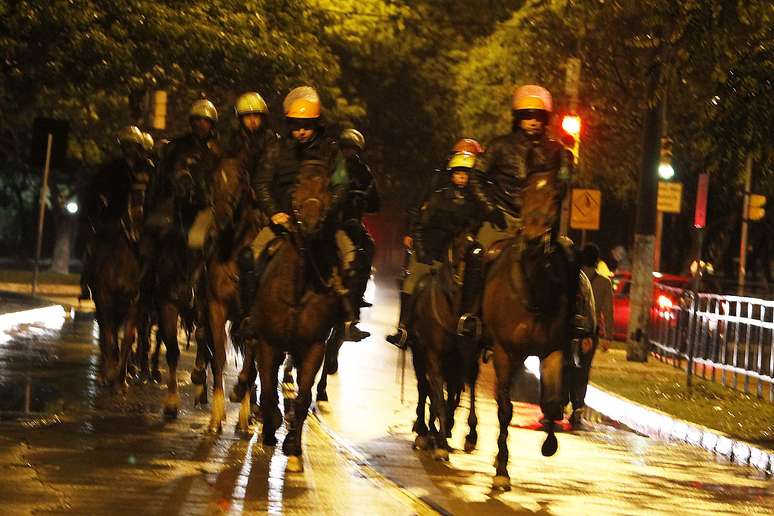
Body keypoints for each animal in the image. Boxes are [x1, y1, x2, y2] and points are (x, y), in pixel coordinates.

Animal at [90, 220, 142, 390]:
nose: (134, 293)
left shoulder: (133, 310)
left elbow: (127, 341)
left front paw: (120, 382)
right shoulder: (105, 304)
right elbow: (109, 338)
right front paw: (106, 375)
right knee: (105, 335)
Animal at [252, 159, 342, 474]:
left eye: (328, 189)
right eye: (296, 189)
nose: (312, 225)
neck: (297, 286)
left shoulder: (314, 347)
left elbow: (303, 397)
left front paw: (292, 445)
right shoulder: (267, 343)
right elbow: (268, 389)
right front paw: (270, 429)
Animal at [410, 230, 482, 460]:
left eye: (481, 264)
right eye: (463, 254)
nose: (471, 321)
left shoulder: (465, 360)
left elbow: (461, 394)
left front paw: (469, 435)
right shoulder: (433, 357)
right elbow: (438, 398)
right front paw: (440, 442)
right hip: (418, 355)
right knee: (424, 387)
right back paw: (423, 429)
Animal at [484, 171, 576, 490]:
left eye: (557, 196)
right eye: (523, 194)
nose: (535, 238)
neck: (533, 292)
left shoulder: (552, 351)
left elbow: (551, 404)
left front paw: (549, 444)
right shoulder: (503, 351)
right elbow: (504, 408)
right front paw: (502, 468)